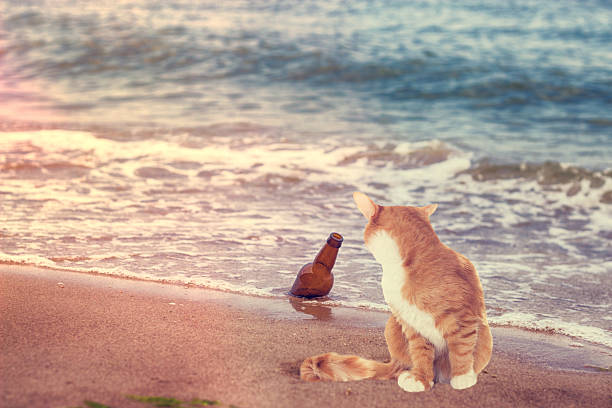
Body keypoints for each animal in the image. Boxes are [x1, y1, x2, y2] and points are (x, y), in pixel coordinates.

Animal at [302, 193, 492, 390]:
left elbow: (461, 349)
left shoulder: (462, 318)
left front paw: (462, 377)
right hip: (393, 324)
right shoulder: (412, 324)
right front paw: (421, 378)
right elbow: (421, 354)